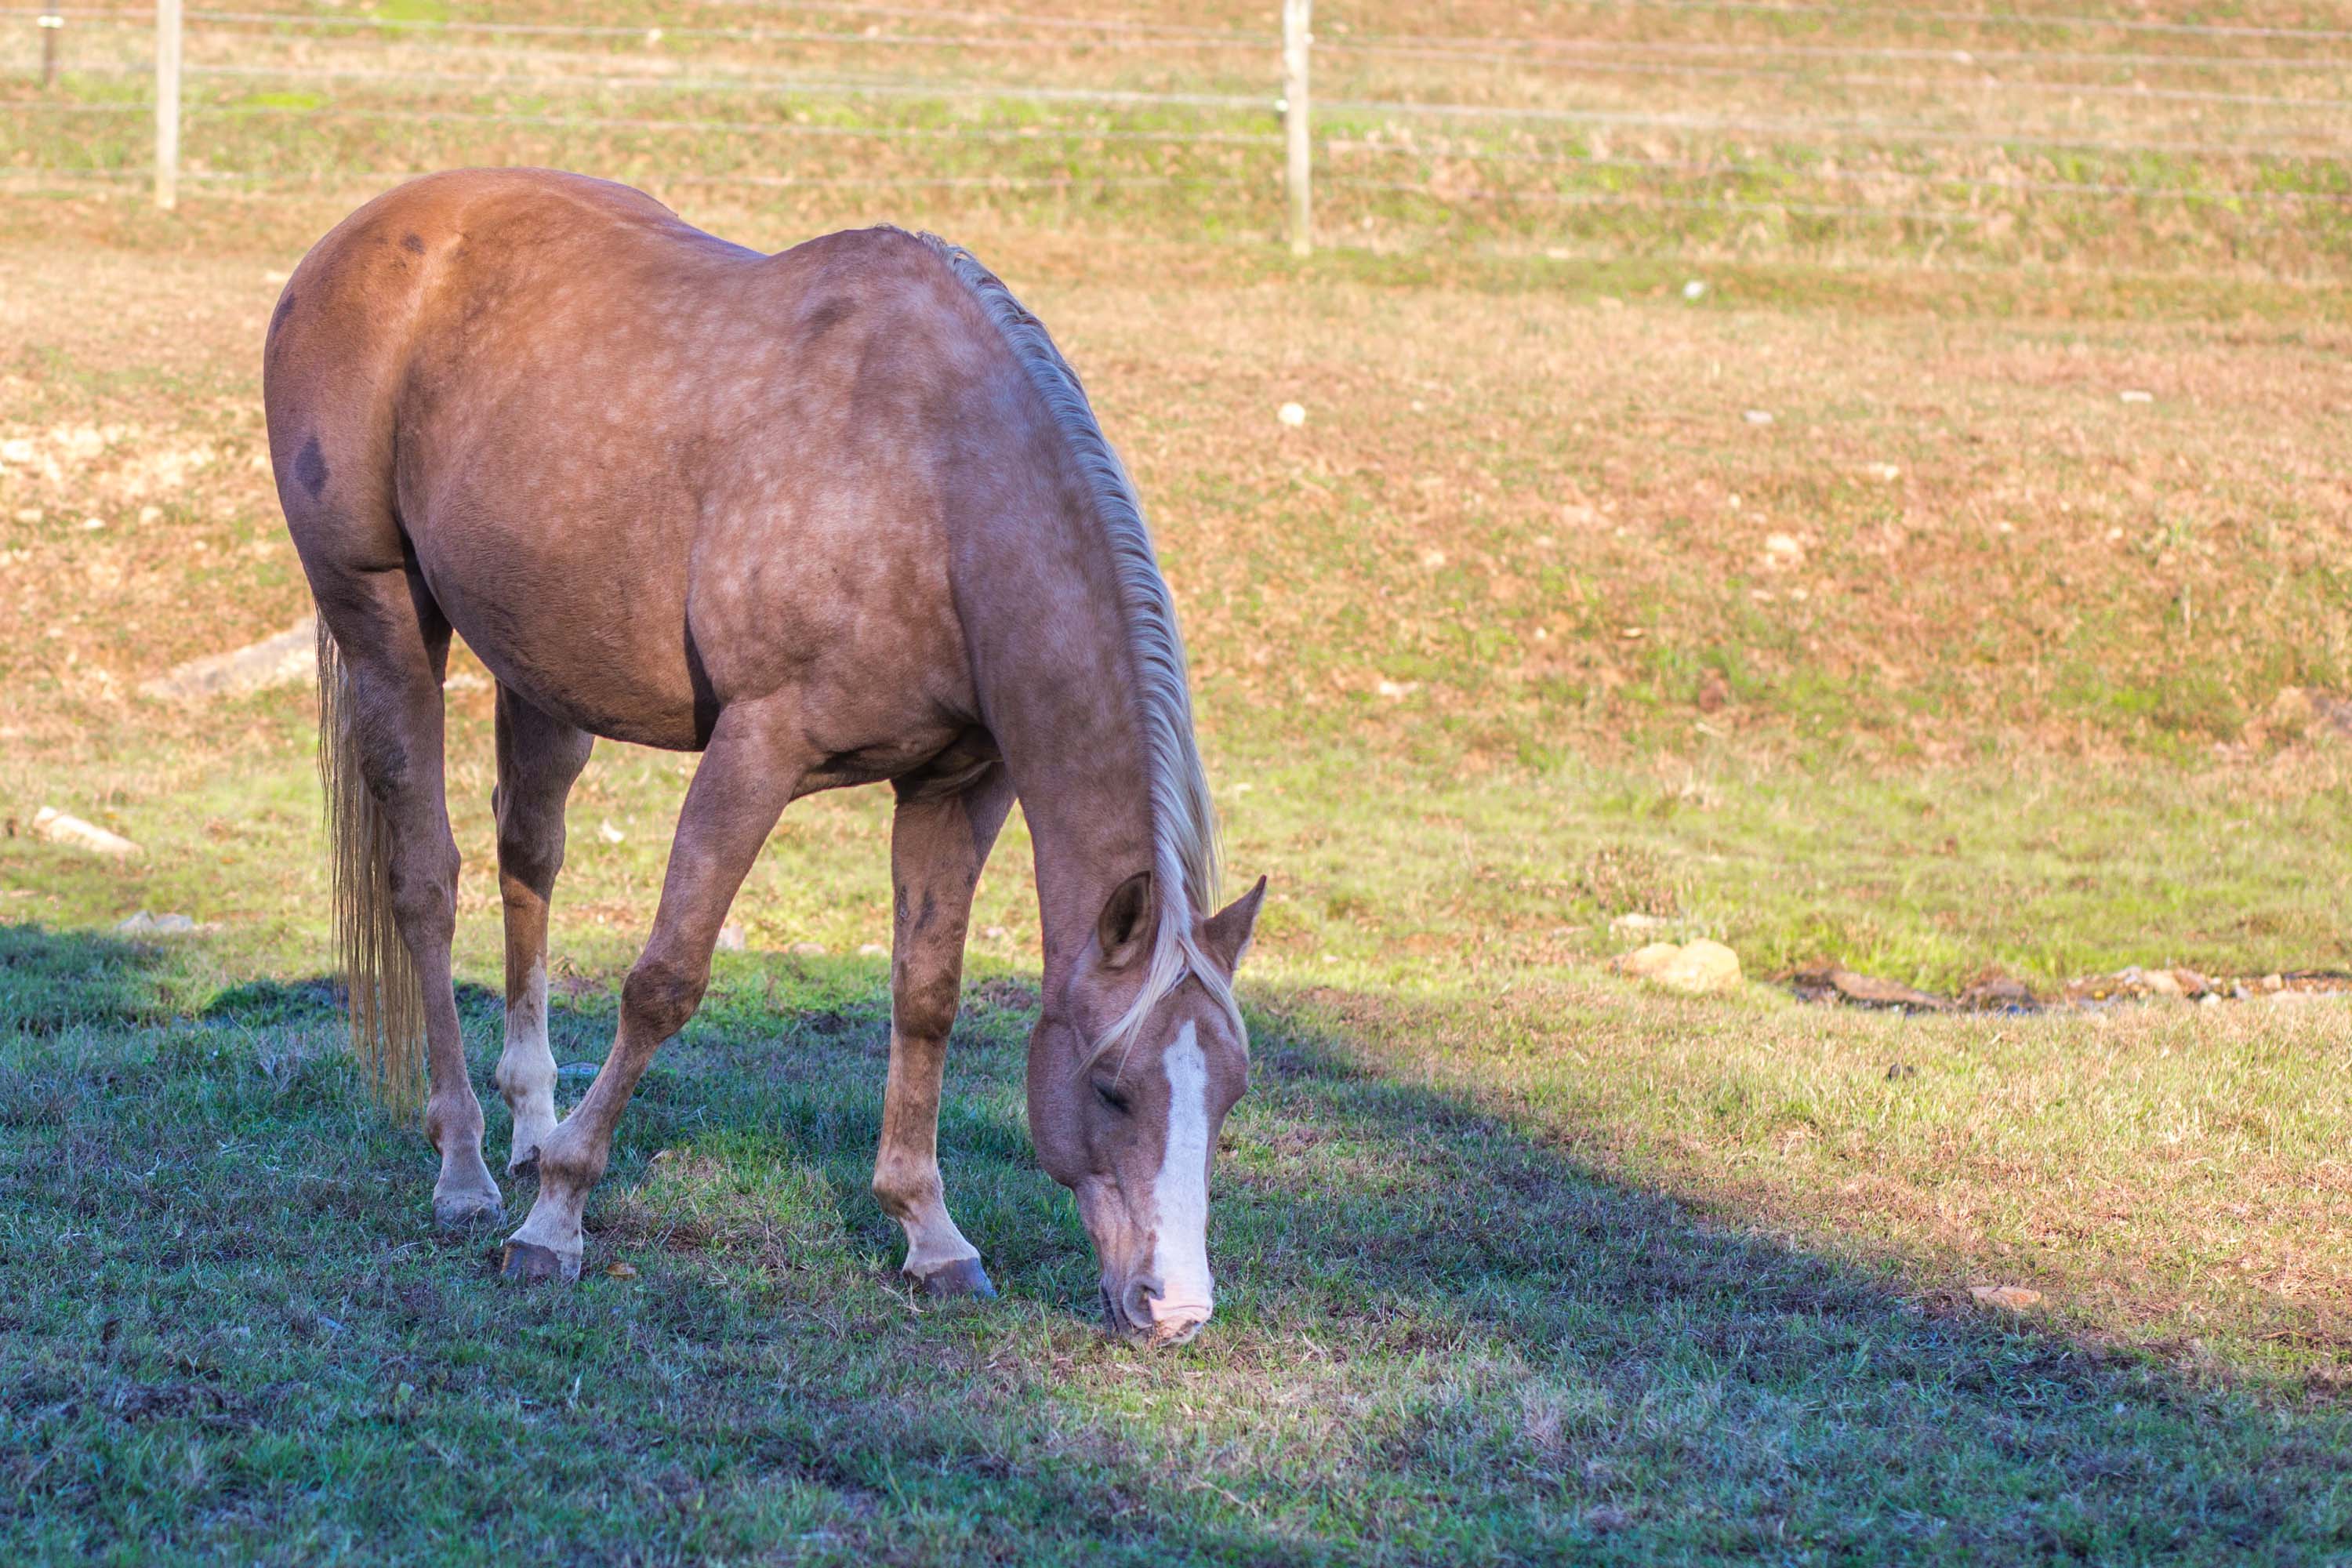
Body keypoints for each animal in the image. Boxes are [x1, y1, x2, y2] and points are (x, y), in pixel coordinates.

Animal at [262, 168, 1265, 1347]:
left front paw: (932, 1234)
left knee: (528, 859)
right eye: (1111, 1088)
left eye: (1230, 1094)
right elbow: (665, 978)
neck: (930, 481)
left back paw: (526, 1125)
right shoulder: (757, 746)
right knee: (426, 881)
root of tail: (359, 237)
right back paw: (465, 1169)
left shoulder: (958, 785)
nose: (1176, 1308)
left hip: (539, 671)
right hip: (380, 614)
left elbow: (927, 994)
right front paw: (555, 1220)